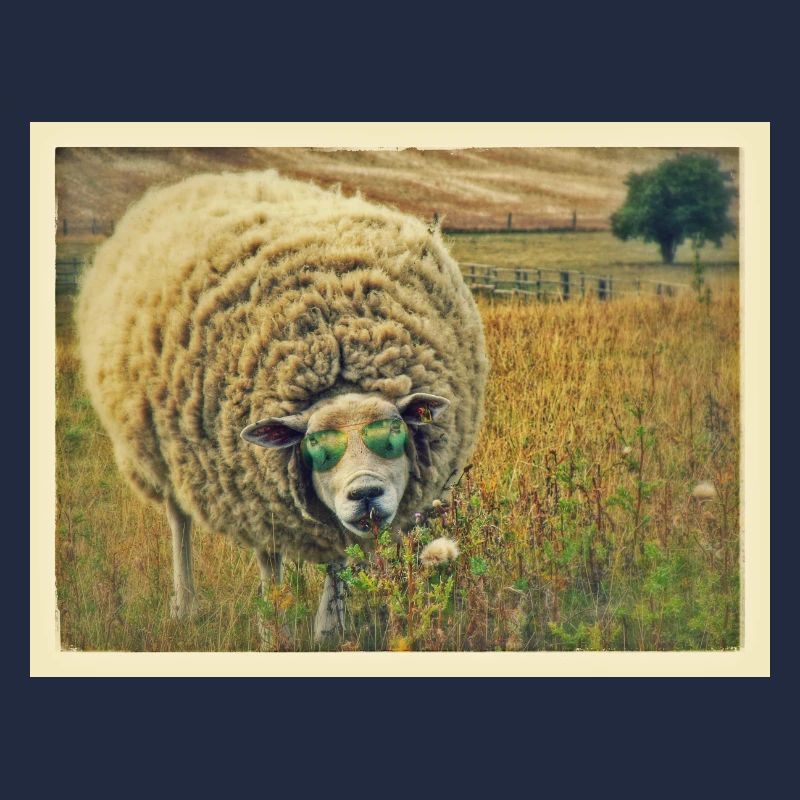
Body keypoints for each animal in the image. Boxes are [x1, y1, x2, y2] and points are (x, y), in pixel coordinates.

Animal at [76, 170, 489, 642]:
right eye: (316, 447)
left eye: (393, 436)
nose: (365, 493)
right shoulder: (254, 496)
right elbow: (270, 566)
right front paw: (272, 630)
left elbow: (338, 558)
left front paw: (330, 631)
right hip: (163, 453)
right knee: (178, 519)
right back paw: (185, 604)